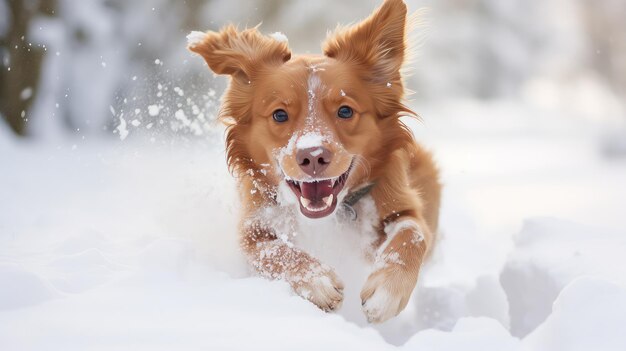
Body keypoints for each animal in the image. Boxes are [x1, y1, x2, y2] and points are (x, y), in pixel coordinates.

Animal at [186, 0, 438, 324]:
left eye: (345, 111)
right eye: (280, 114)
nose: (314, 155)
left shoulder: (402, 207)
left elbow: (412, 235)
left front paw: (386, 292)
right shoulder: (251, 231)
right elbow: (272, 251)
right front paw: (318, 281)